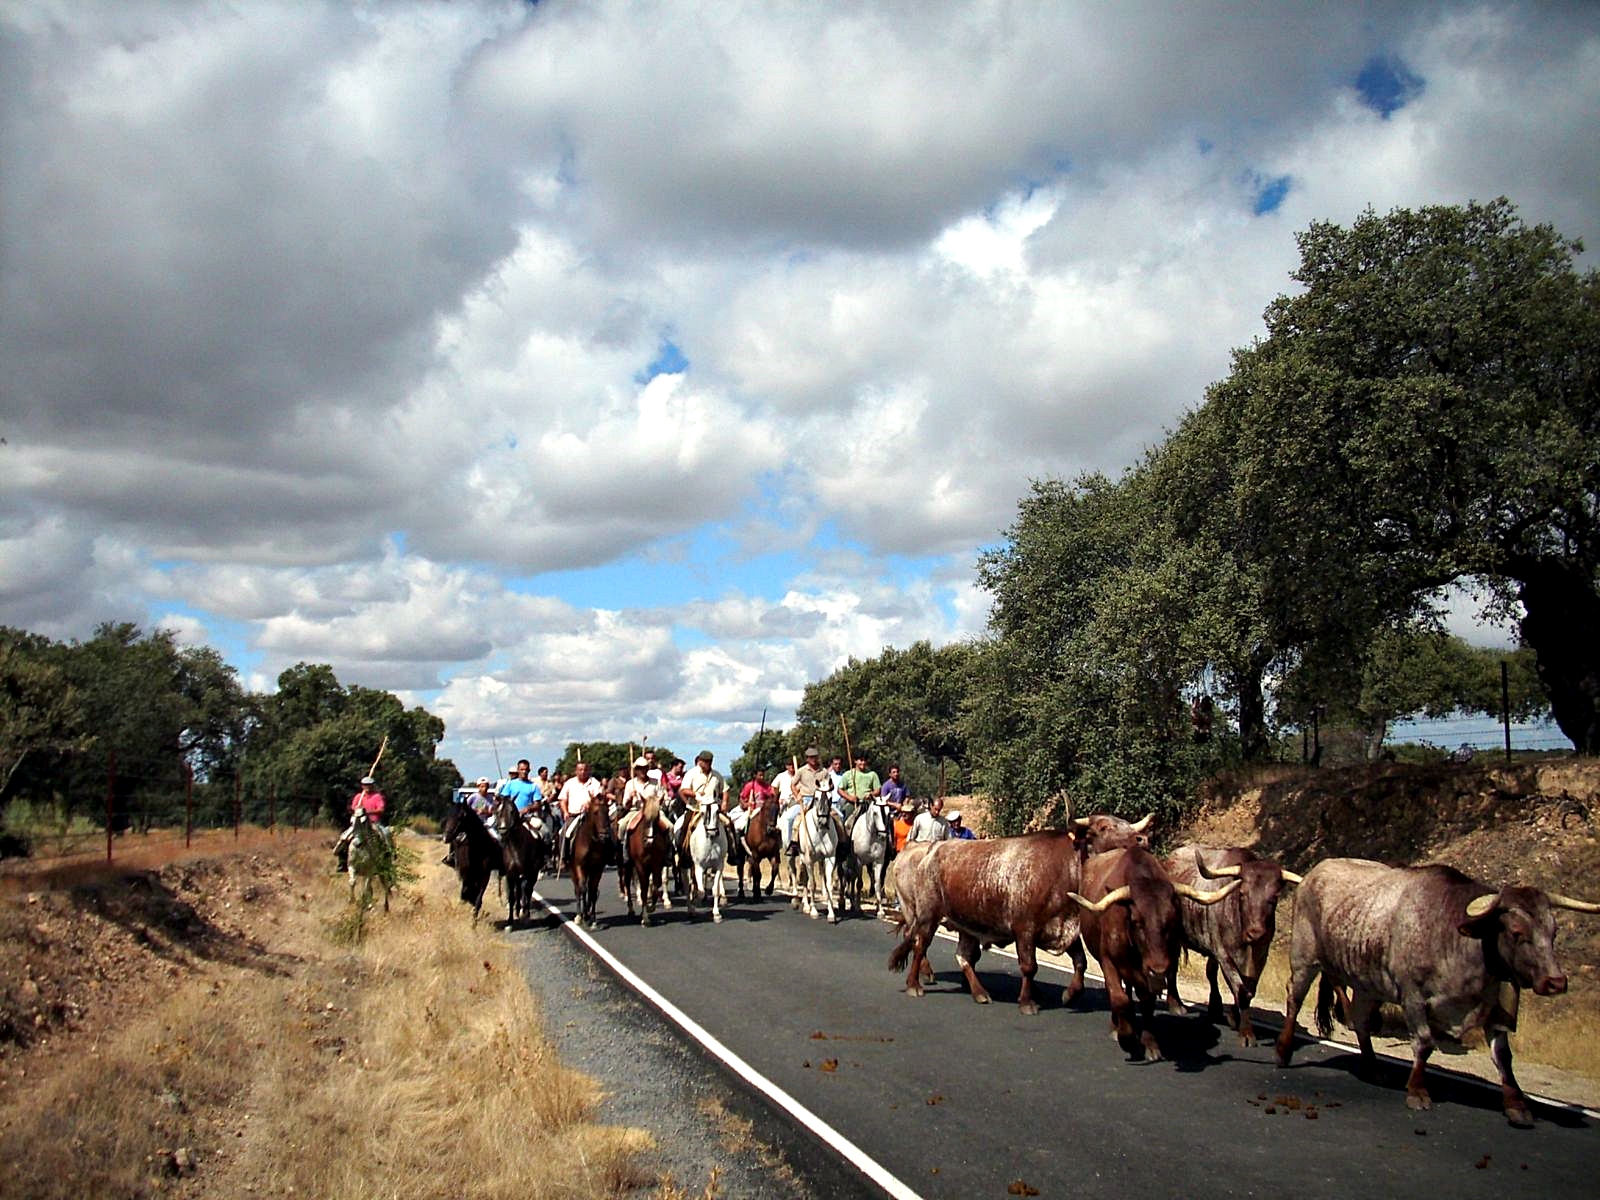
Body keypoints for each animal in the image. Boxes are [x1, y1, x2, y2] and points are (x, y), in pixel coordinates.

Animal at [572, 800, 614, 928]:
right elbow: (583, 889)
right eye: (595, 812)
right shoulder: (579, 866)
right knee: (578, 889)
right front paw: (584, 916)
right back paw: (579, 916)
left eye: (607, 811)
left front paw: (592, 918)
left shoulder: (597, 868)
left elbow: (593, 891)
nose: (605, 835)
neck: (591, 843)